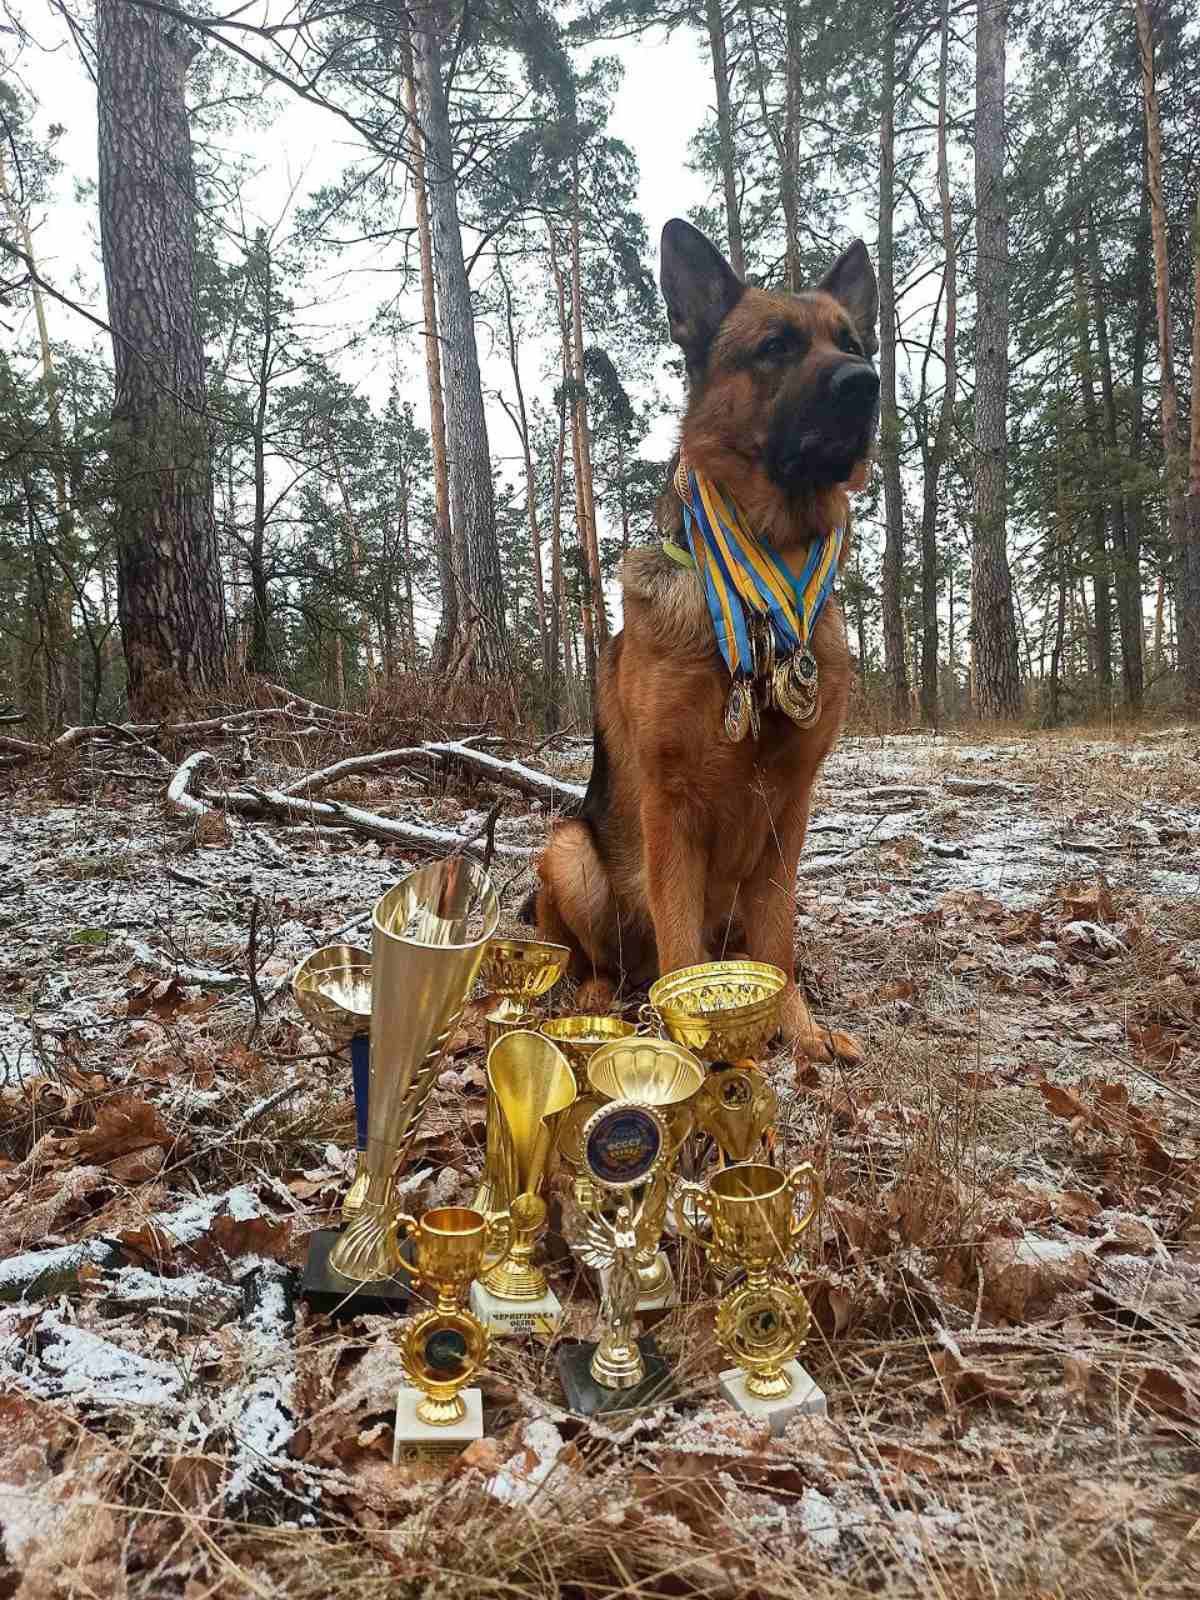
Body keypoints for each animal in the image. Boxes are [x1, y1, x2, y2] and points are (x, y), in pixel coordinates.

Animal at [531, 216, 876, 1062]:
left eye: (854, 341)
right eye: (777, 346)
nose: (867, 383)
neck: (762, 588)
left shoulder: (789, 808)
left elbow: (776, 940)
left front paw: (798, 1030)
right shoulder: (671, 808)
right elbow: (681, 946)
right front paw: (687, 1054)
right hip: (569, 851)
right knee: (604, 960)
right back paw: (597, 1003)